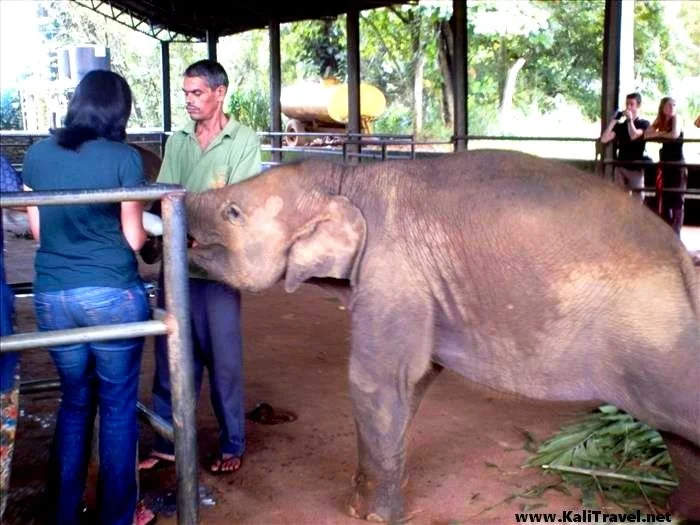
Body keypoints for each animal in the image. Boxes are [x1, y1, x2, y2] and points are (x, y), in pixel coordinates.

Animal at [183, 149, 696, 520]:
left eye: (232, 212)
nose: (176, 199)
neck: (349, 177)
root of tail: (682, 260)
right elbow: (413, 382)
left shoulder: (392, 269)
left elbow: (375, 383)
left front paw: (366, 515)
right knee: (680, 437)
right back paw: (679, 513)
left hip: (655, 340)